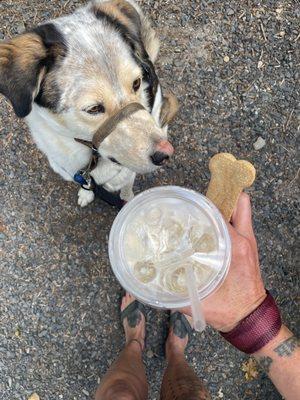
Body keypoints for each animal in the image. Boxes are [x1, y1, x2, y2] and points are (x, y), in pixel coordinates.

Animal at [0, 0, 178, 206]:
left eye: (136, 83)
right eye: (93, 109)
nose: (165, 153)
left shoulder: (128, 173)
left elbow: (127, 188)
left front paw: (130, 200)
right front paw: (86, 194)